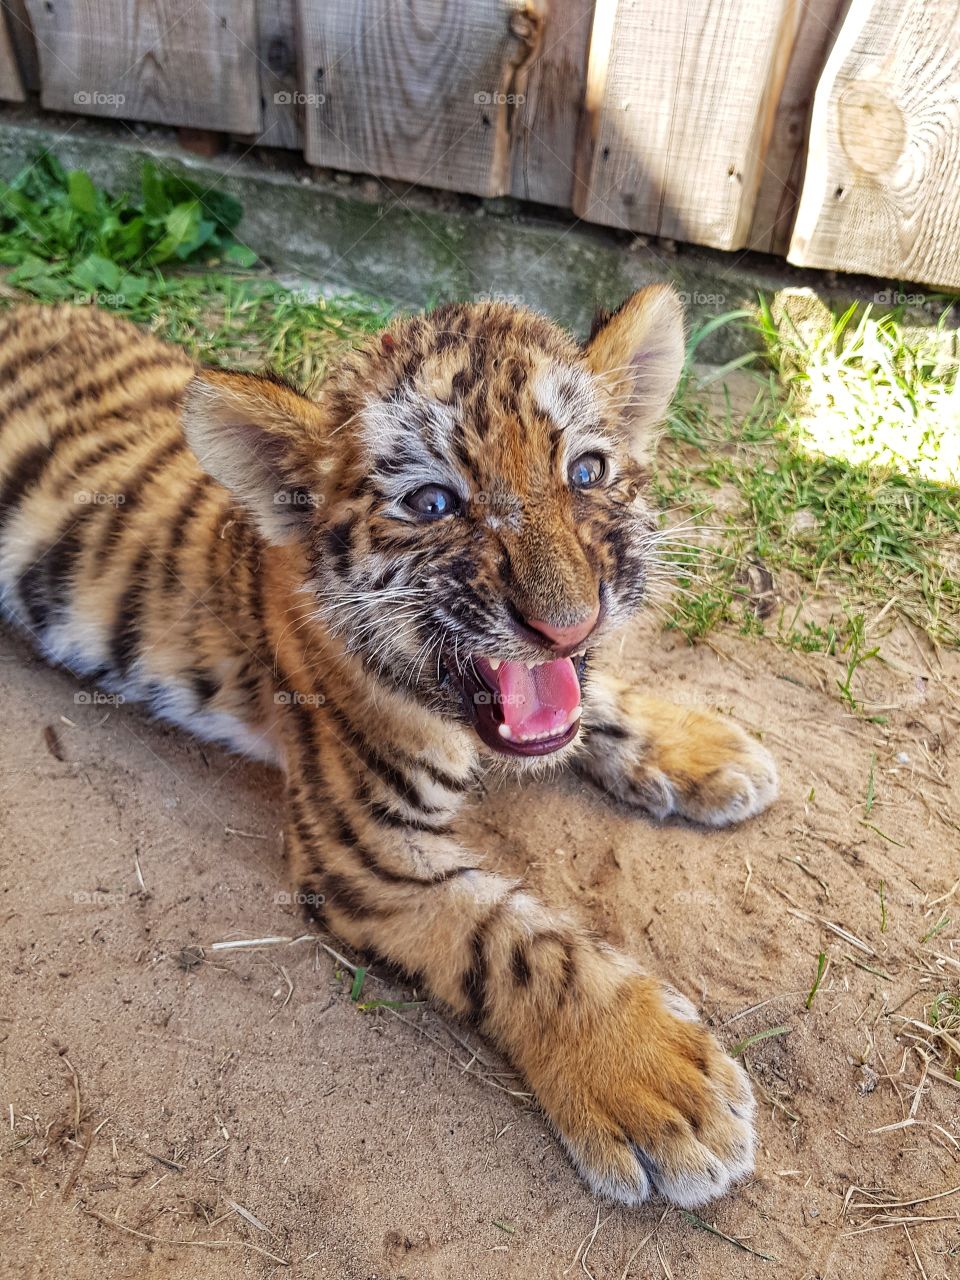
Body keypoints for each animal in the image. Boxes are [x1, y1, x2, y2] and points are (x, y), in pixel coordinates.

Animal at [0, 286, 777, 1209]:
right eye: (433, 503)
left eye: (586, 471)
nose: (570, 623)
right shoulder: (366, 848)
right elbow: (517, 942)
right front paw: (655, 1082)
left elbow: (593, 701)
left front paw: (703, 749)